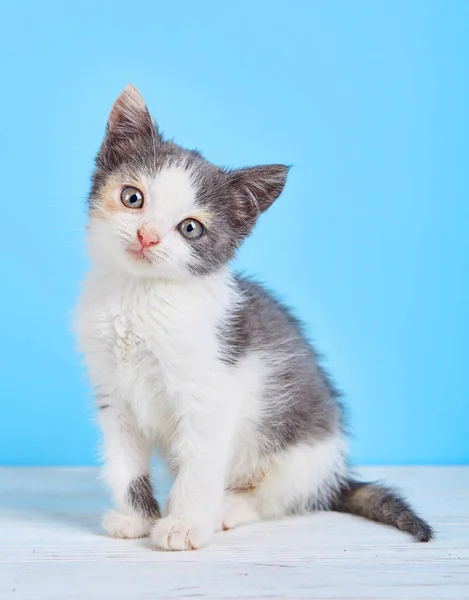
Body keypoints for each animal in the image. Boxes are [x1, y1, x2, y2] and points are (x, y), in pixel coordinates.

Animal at [76, 85, 432, 552]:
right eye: (132, 197)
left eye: (190, 228)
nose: (146, 236)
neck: (140, 296)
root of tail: (335, 475)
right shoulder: (113, 395)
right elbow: (124, 463)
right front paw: (136, 518)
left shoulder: (210, 393)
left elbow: (200, 464)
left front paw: (183, 525)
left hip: (299, 453)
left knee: (281, 498)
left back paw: (228, 508)